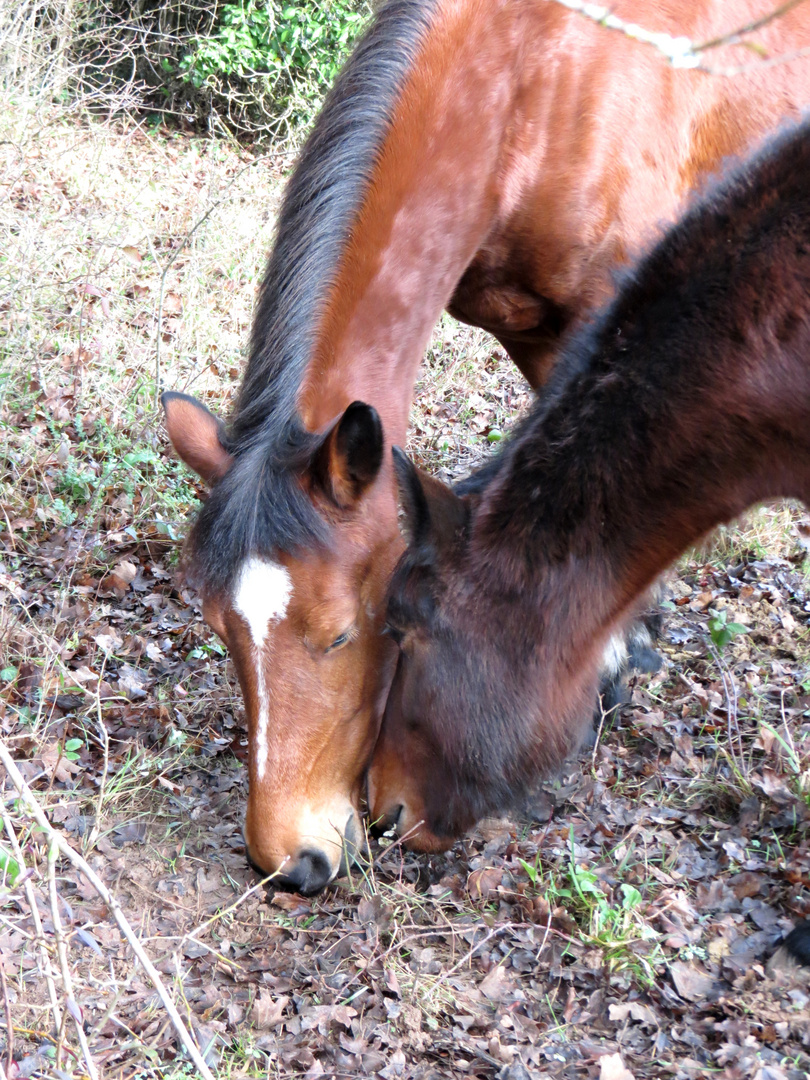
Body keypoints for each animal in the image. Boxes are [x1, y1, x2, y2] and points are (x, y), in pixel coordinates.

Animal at [162, 0, 810, 894]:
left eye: (344, 634)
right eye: (222, 630)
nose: (291, 861)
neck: (529, 82)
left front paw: (613, 657)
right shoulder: (527, 327)